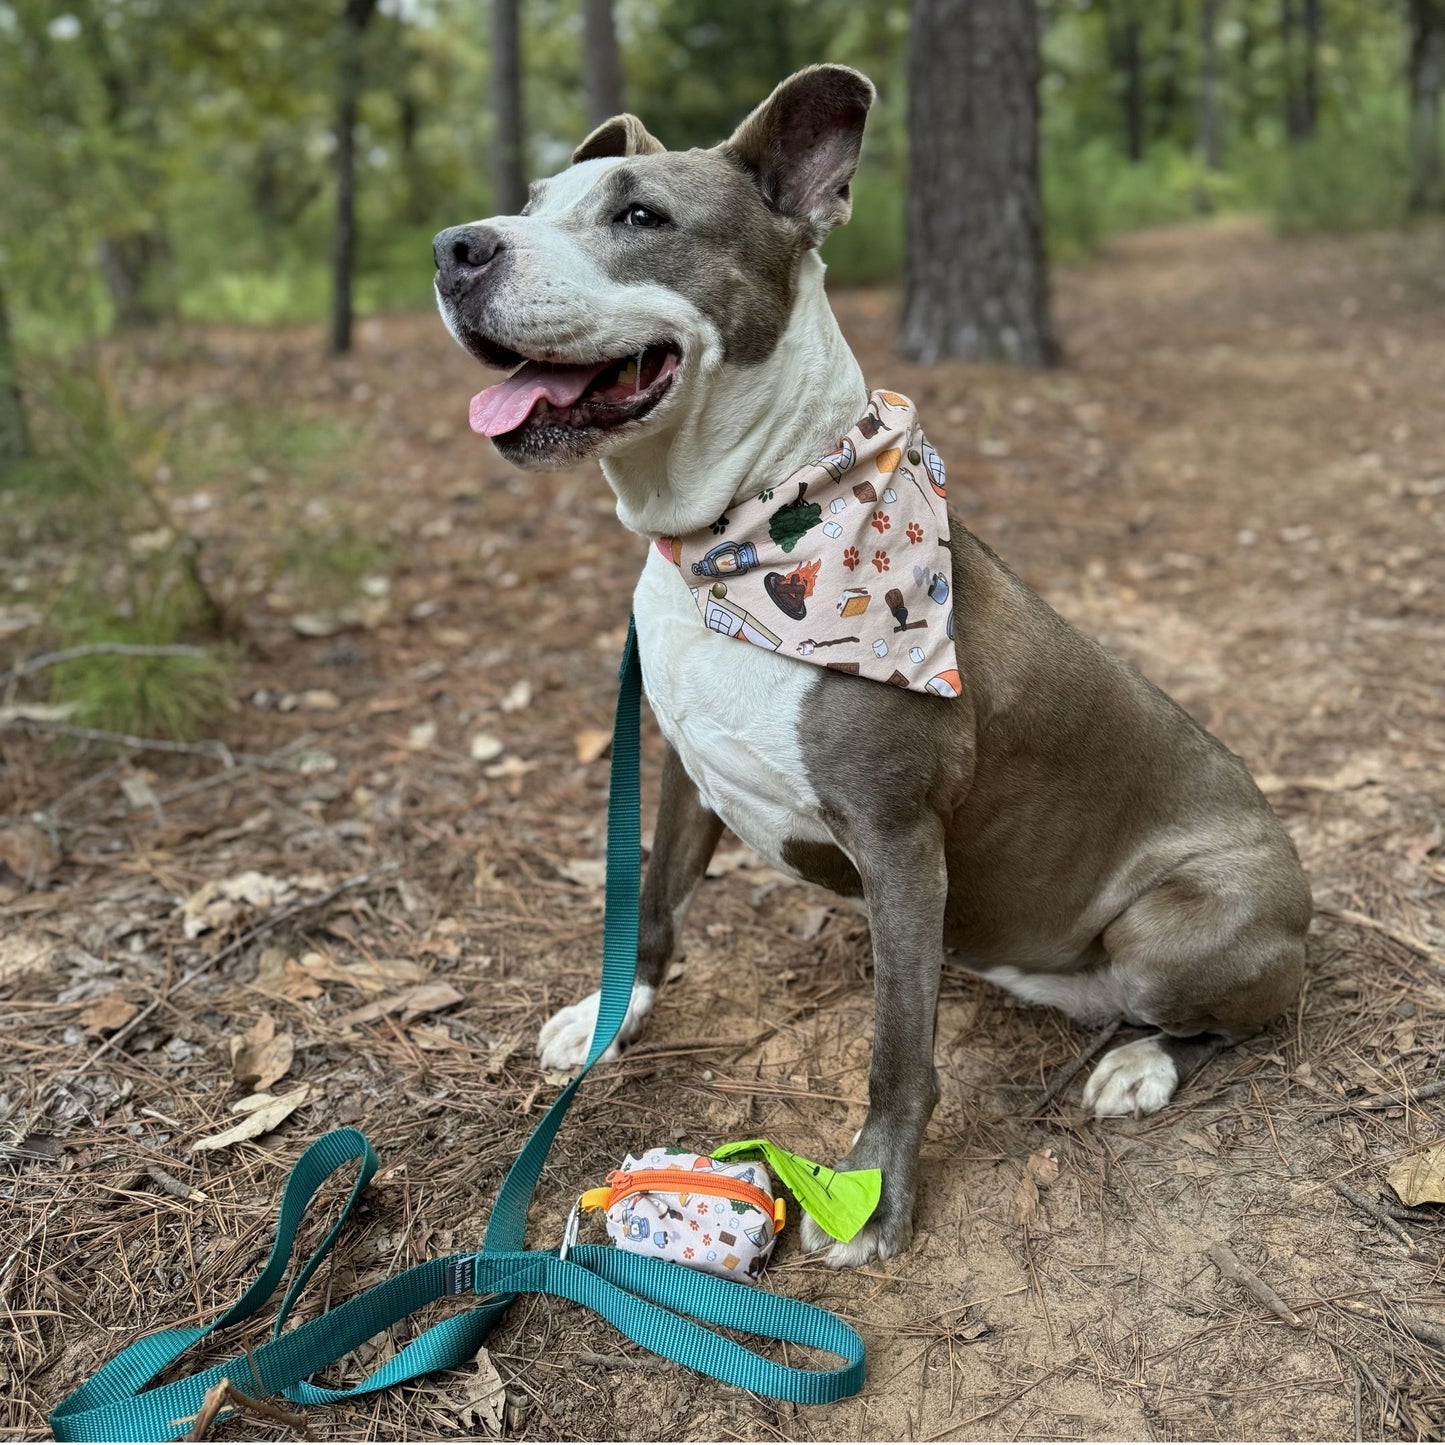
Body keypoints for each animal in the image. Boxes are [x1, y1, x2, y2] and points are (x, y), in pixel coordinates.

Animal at [430, 67, 1312, 1265]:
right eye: (530, 201)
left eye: (639, 217)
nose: (455, 247)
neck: (733, 539)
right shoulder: (684, 767)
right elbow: (651, 902)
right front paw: (609, 1016)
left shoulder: (899, 842)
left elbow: (898, 1056)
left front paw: (876, 1194)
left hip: (1176, 923)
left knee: (1222, 1021)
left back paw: (1138, 1064)